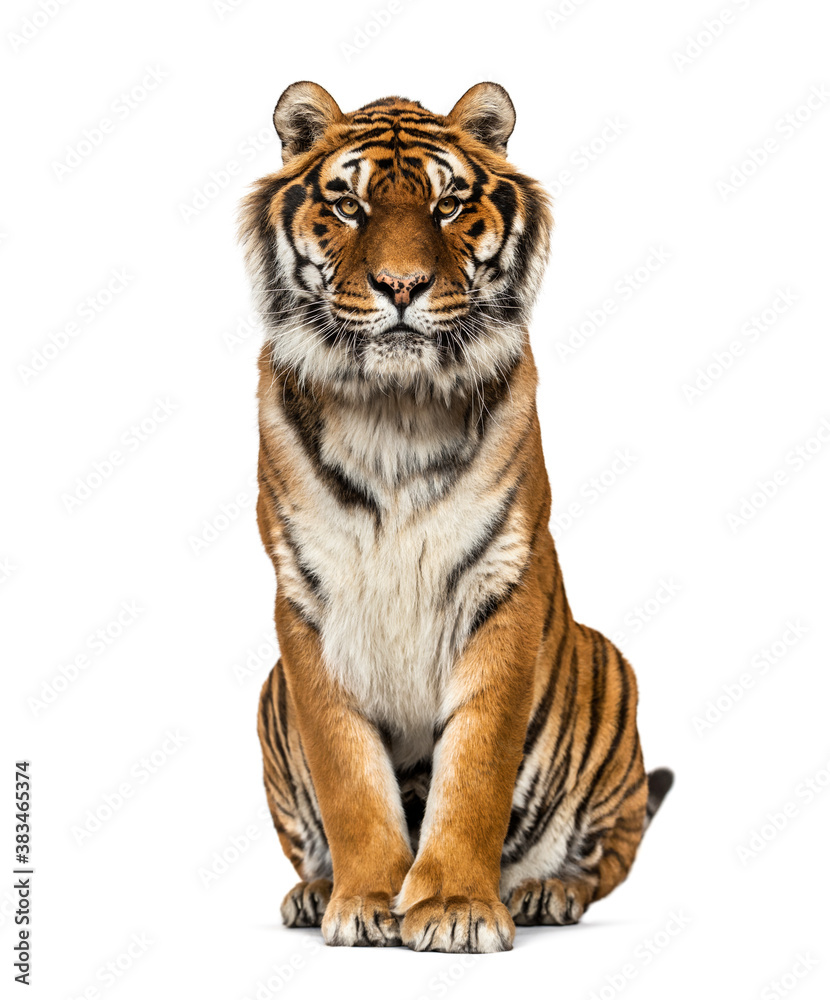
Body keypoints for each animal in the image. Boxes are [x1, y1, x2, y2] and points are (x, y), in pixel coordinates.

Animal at [241, 80, 673, 954]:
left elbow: (475, 768)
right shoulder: (304, 599)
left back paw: (545, 893)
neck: (393, 415)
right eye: (348, 204)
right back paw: (314, 890)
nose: (401, 287)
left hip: (612, 675)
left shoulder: (502, 582)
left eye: (447, 205)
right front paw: (368, 899)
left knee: (606, 858)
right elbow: (348, 774)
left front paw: (453, 908)